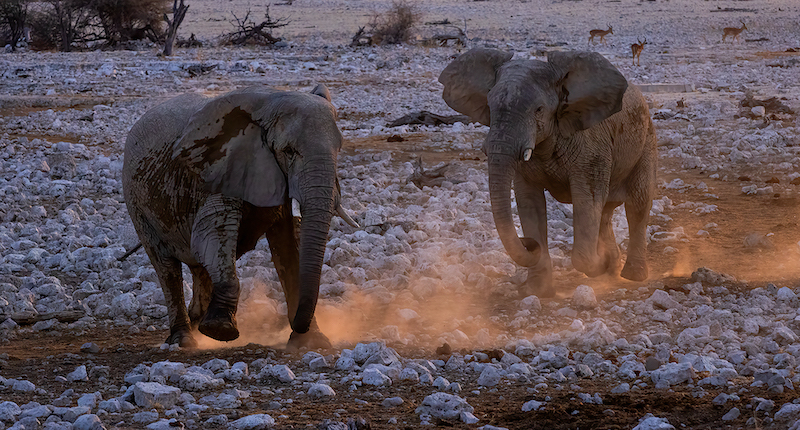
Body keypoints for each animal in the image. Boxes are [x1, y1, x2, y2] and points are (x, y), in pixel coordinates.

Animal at [122, 84, 357, 349]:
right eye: (288, 151)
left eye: (339, 149)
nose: (298, 324)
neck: (270, 102)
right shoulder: (220, 170)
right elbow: (211, 236)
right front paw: (220, 331)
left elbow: (290, 244)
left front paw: (311, 342)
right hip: (136, 200)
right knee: (166, 266)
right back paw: (185, 338)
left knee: (199, 265)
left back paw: (197, 320)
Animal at [439, 48, 657, 297]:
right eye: (489, 106)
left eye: (539, 110)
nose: (527, 242)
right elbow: (530, 203)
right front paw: (538, 290)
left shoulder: (592, 146)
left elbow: (587, 200)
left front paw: (600, 263)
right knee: (605, 213)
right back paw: (612, 268)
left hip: (647, 140)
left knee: (637, 205)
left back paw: (631, 275)